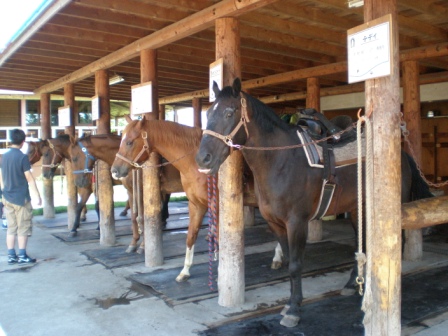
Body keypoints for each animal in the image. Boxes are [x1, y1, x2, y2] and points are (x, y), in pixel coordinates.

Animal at [194, 77, 432, 326]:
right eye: (208, 112)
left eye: (229, 112)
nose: (202, 159)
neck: (281, 161)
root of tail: (403, 155)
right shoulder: (276, 224)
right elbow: (289, 262)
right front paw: (290, 304)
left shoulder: (297, 223)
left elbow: (296, 265)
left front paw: (293, 310)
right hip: (357, 209)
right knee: (362, 243)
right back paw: (352, 284)